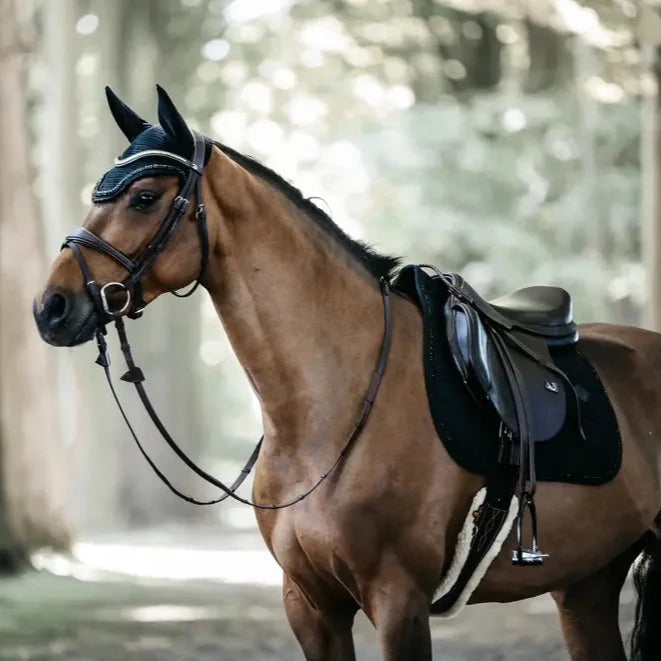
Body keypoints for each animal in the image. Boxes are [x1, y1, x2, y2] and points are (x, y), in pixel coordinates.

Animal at [32, 85, 660, 656]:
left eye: (143, 197)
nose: (50, 308)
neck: (333, 408)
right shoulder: (311, 605)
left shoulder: (398, 602)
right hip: (586, 585)